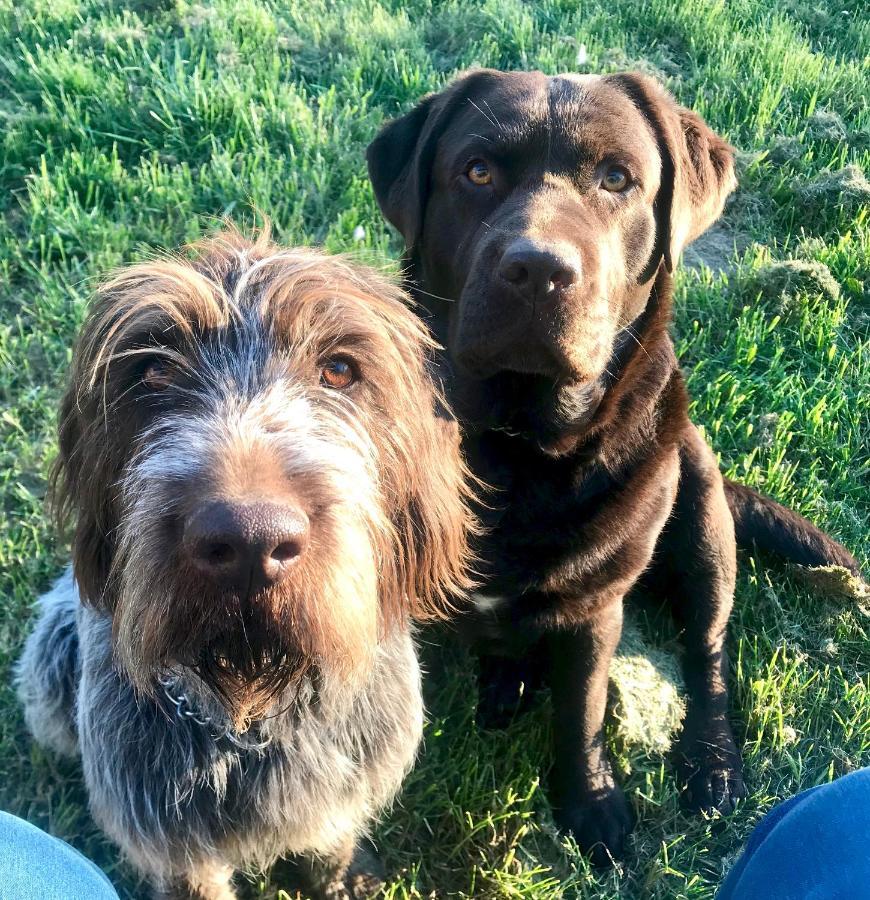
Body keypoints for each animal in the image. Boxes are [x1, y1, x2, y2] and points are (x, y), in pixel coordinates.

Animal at [15, 229, 476, 896]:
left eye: (340, 369)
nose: (249, 544)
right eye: (152, 370)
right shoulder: (176, 844)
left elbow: (330, 842)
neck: (250, 722)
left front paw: (338, 876)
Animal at [364, 68, 860, 856]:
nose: (537, 269)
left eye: (617, 179)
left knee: (707, 654)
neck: (516, 450)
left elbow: (583, 711)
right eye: (477, 171)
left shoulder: (597, 607)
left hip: (701, 518)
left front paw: (588, 804)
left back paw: (711, 763)